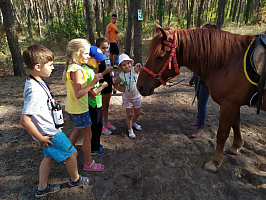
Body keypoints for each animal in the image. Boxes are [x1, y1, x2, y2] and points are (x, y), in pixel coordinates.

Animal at [137, 24, 266, 172]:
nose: (140, 86)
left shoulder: (229, 104)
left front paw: (214, 162)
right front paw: (236, 146)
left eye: (160, 56)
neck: (230, 61)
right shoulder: (234, 104)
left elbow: (222, 133)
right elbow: (236, 124)